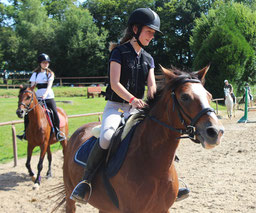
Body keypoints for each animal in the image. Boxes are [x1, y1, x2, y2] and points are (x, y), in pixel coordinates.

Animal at [60, 65, 224, 212]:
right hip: (70, 192)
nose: (215, 132)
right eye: (185, 97)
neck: (153, 164)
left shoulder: (162, 209)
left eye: (209, 96)